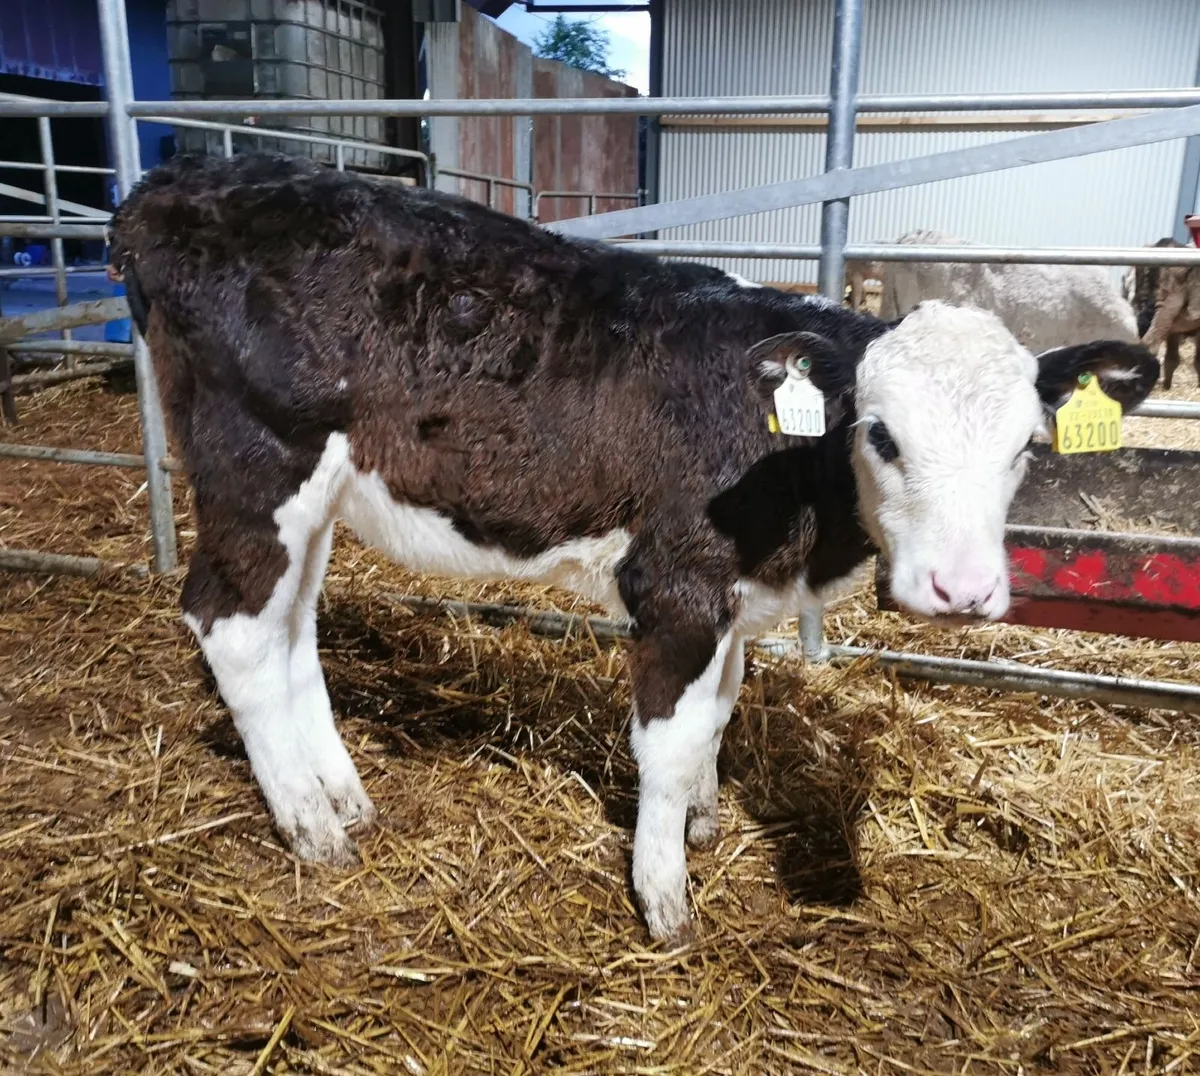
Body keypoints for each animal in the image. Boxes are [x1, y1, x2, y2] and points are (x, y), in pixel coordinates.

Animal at [108, 154, 1159, 941]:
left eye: (1026, 446)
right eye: (882, 434)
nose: (962, 589)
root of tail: (186, 182)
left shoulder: (734, 596)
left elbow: (722, 709)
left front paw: (701, 818)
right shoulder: (678, 581)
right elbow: (668, 735)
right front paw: (664, 895)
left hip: (317, 496)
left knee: (292, 625)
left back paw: (343, 792)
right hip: (258, 461)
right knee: (232, 623)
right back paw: (312, 826)